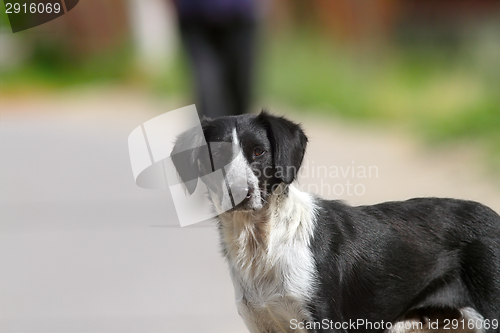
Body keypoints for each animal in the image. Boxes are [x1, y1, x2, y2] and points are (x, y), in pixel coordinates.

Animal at [171, 112, 500, 332]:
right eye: (214, 156)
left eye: (258, 151)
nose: (239, 192)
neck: (264, 245)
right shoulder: (261, 322)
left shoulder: (327, 321)